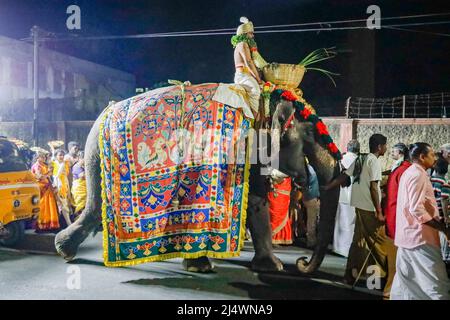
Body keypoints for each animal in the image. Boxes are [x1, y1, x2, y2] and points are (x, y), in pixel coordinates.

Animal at [54, 81, 340, 274]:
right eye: (312, 135)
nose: (303, 263)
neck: (259, 102)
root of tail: (105, 112)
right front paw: (202, 266)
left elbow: (256, 199)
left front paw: (271, 267)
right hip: (98, 156)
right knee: (96, 206)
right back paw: (67, 251)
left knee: (95, 208)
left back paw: (66, 250)